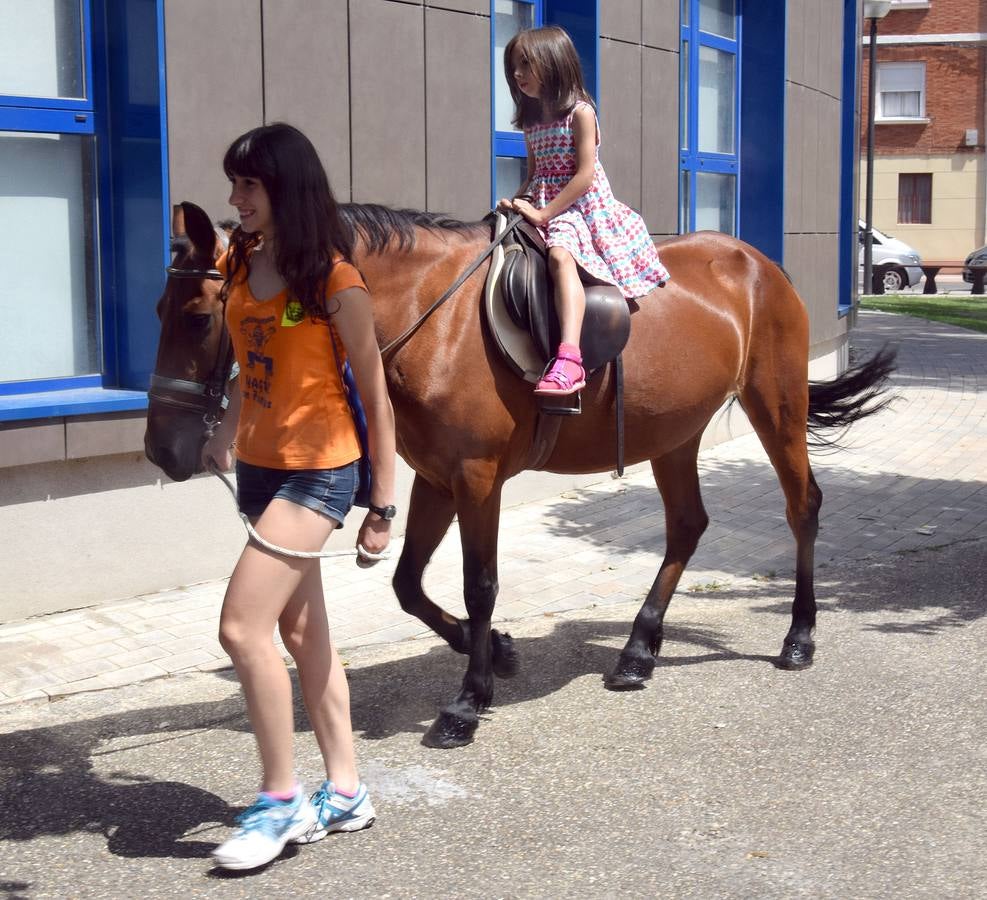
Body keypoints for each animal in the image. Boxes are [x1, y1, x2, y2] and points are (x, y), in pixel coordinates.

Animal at [145, 200, 896, 748]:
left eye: (199, 316)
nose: (162, 448)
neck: (431, 314)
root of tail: (760, 264)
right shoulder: (436, 478)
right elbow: (407, 585)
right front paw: (498, 654)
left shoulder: (477, 480)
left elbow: (478, 586)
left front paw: (467, 701)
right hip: (672, 432)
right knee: (687, 525)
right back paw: (636, 651)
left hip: (776, 404)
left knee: (802, 506)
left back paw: (798, 638)